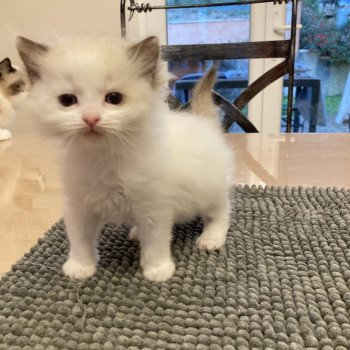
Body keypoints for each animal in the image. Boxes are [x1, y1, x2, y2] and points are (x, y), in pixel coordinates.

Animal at [17, 35, 234, 282]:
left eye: (114, 98)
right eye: (67, 100)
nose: (91, 118)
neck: (104, 157)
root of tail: (204, 122)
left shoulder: (155, 207)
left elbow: (156, 242)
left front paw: (157, 269)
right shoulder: (78, 205)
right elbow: (79, 239)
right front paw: (81, 266)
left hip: (210, 190)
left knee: (221, 212)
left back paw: (211, 238)